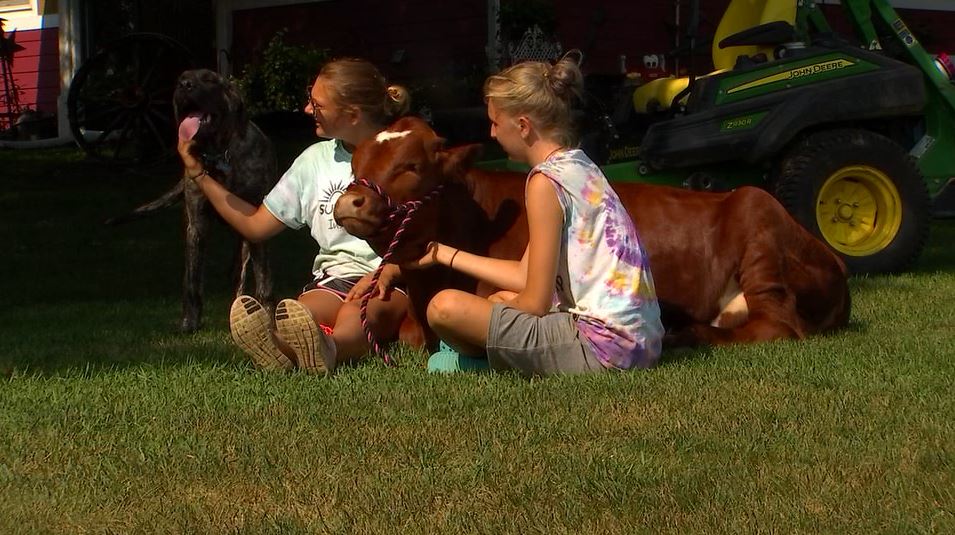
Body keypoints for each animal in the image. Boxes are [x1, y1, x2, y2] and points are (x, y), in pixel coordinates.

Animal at [334, 116, 850, 352]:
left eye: (411, 166)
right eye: (356, 165)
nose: (348, 202)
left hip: (755, 213)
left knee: (775, 326)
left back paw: (685, 332)